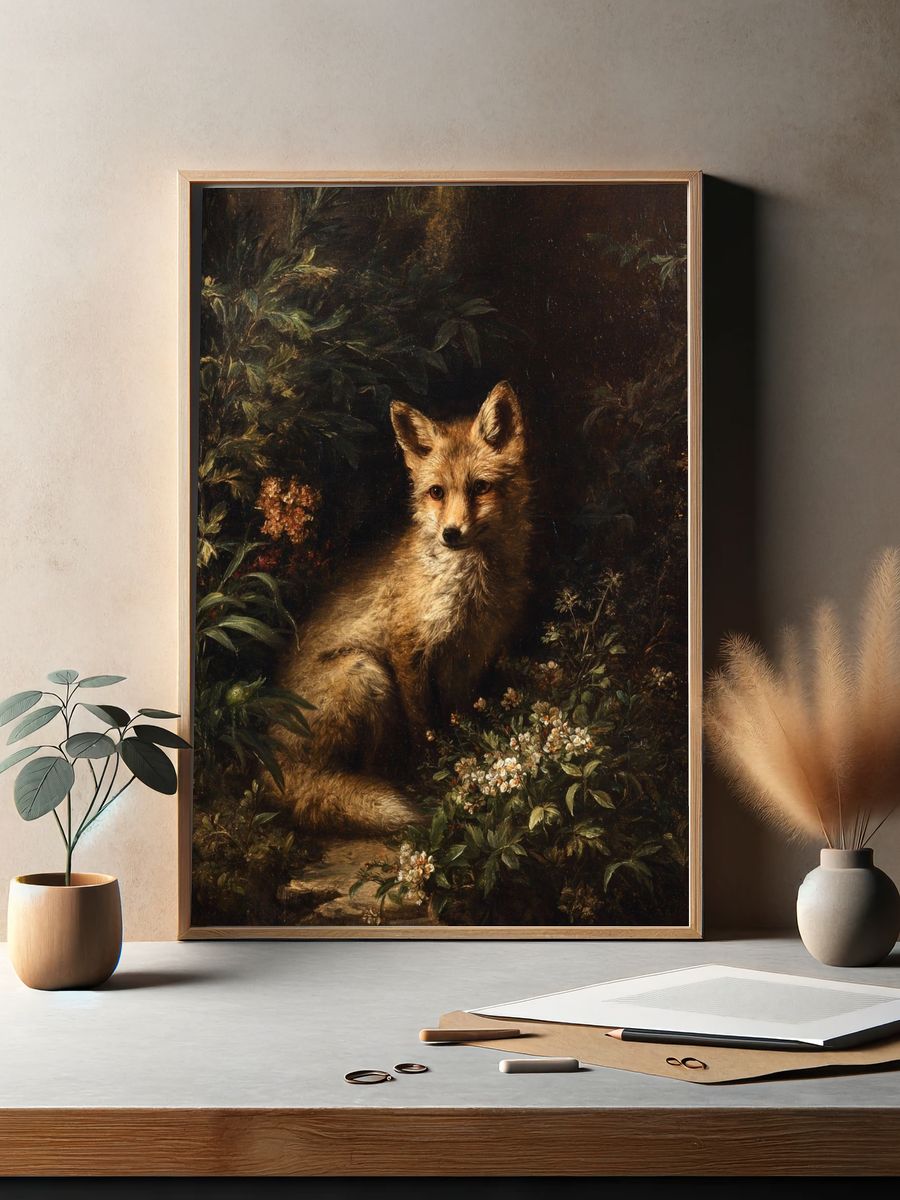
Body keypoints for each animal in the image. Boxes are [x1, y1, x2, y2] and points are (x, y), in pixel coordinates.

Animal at [275, 380, 532, 834]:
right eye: (437, 493)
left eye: (480, 488)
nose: (451, 533)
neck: (475, 586)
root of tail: (271, 762)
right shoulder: (407, 649)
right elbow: (422, 723)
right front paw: (435, 768)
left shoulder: (469, 655)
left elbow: (456, 714)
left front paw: (464, 755)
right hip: (364, 671)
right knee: (359, 772)